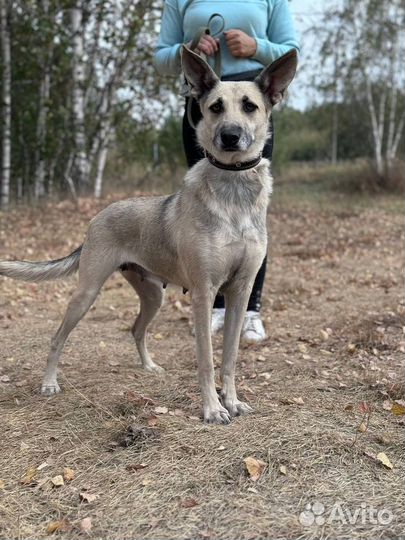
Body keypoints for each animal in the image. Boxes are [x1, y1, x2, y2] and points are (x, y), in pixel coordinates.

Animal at [0, 46, 296, 424]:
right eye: (215, 107)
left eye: (250, 106)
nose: (230, 136)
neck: (233, 190)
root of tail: (98, 216)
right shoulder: (204, 293)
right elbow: (206, 359)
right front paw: (212, 409)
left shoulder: (240, 292)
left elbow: (229, 357)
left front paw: (231, 401)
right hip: (87, 292)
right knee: (56, 338)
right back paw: (49, 383)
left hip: (153, 295)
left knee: (136, 329)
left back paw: (149, 366)